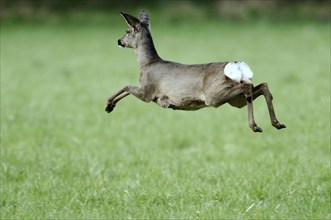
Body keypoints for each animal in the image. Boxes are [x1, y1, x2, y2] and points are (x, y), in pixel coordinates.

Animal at [105, 10, 286, 132]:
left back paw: (255, 126)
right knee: (262, 86)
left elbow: (126, 86)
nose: (119, 41)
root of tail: (237, 66)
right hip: (235, 100)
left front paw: (108, 104)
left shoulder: (148, 92)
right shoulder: (147, 92)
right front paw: (110, 106)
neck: (147, 64)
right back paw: (277, 123)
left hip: (214, 95)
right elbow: (127, 88)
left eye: (127, 31)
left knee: (249, 88)